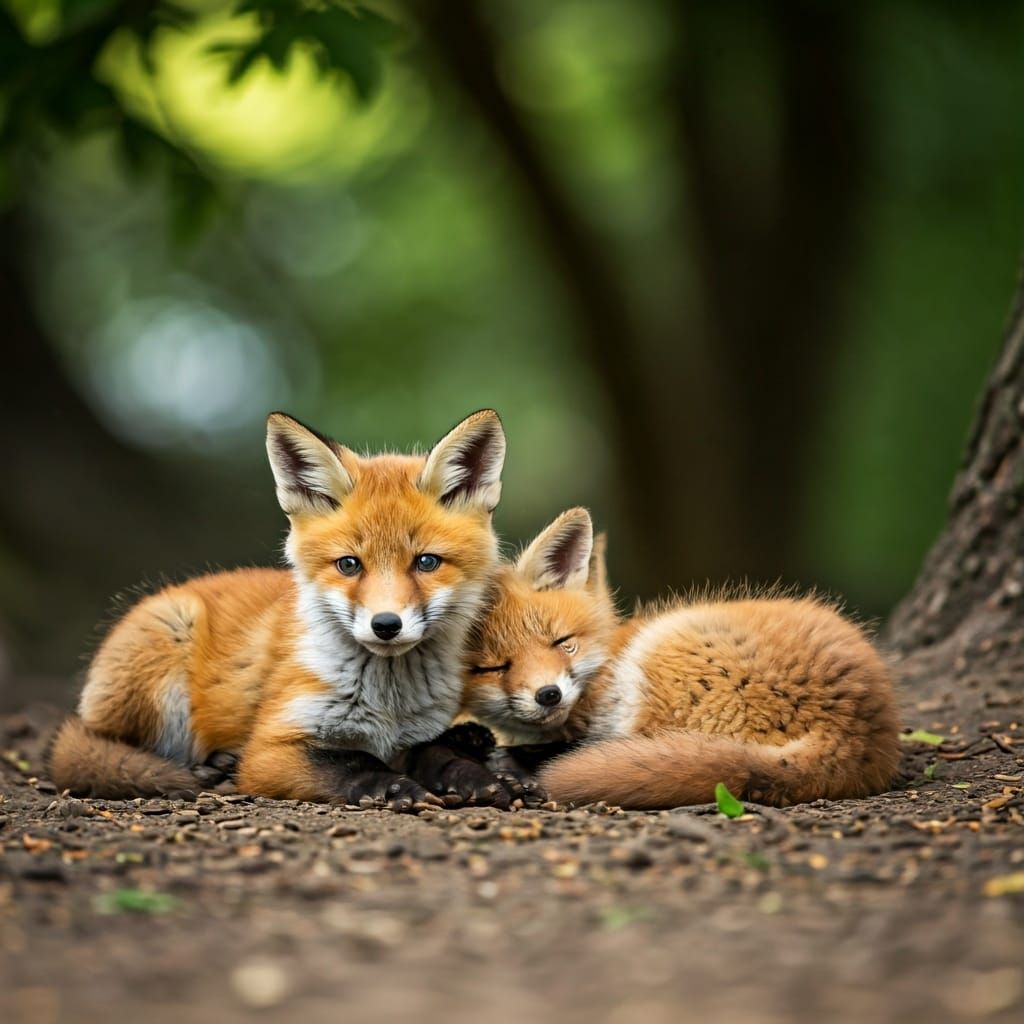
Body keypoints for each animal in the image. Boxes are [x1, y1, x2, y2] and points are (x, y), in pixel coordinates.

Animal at [48, 409, 515, 811]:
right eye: (349, 564)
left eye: (426, 562)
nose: (386, 625)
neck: (388, 703)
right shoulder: (270, 750)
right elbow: (352, 761)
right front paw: (393, 787)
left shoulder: (415, 733)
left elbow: (432, 752)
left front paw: (472, 775)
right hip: (165, 657)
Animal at [462, 508, 901, 809]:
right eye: (493, 668)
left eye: (561, 643)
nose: (548, 694)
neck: (606, 655)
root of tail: (859, 731)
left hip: (658, 658)